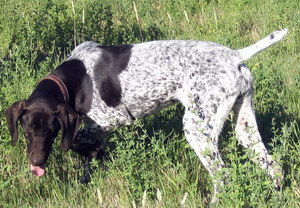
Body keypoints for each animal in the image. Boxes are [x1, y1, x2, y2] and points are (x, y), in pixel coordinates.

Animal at [5, 28, 288, 204]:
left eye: (51, 130)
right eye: (27, 130)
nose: (36, 162)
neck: (74, 78)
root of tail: (235, 55)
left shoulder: (109, 119)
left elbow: (78, 141)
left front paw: (93, 154)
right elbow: (87, 154)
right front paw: (90, 170)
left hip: (197, 129)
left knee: (223, 176)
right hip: (244, 126)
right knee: (273, 167)